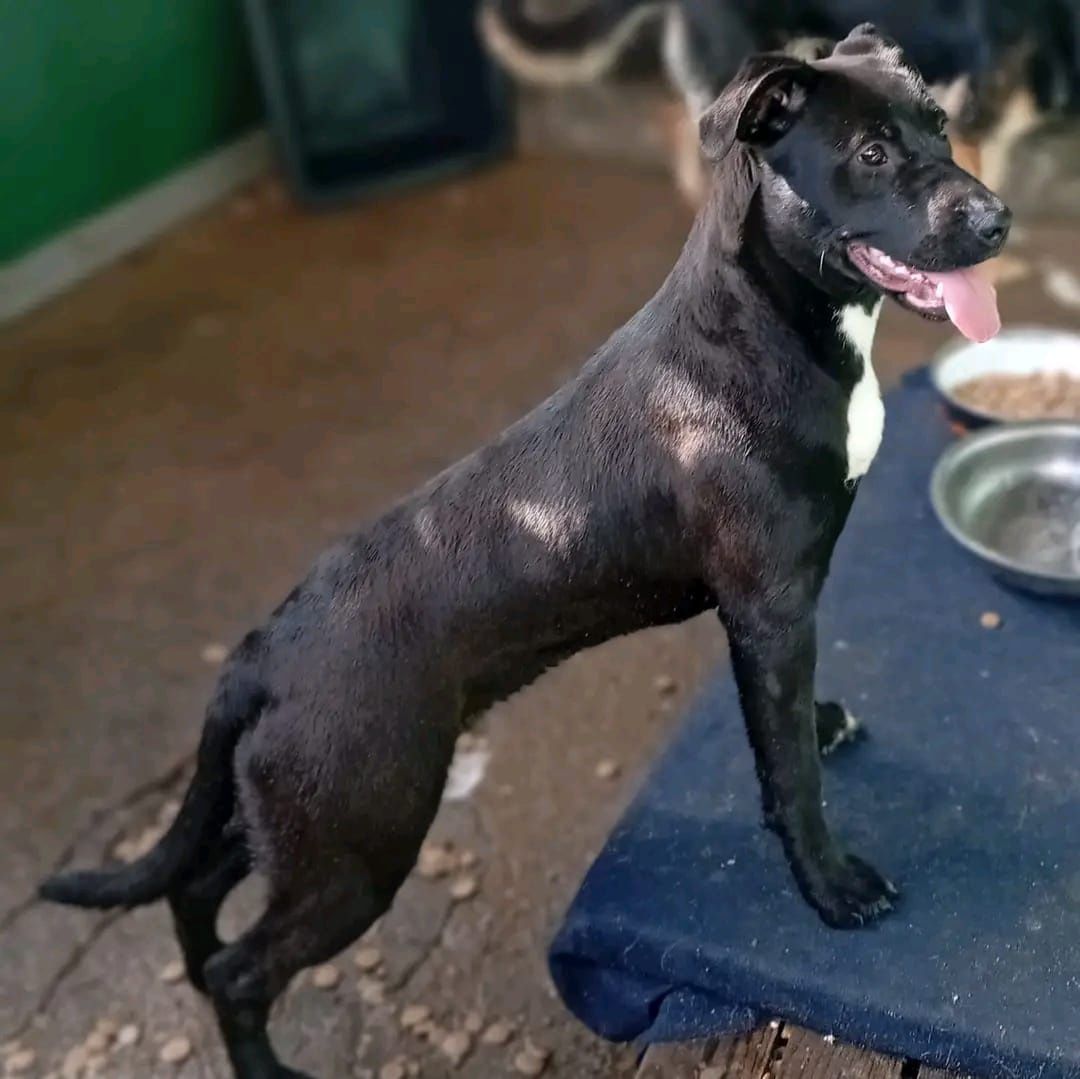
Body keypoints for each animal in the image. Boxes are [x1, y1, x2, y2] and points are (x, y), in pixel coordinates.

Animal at [38, 27, 1006, 1079]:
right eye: (869, 153)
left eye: (940, 123)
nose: (999, 219)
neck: (763, 320)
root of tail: (258, 653)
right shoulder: (772, 606)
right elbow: (791, 774)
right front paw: (831, 885)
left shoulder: (770, 617)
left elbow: (788, 734)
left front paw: (821, 729)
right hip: (360, 841)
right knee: (241, 971)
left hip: (296, 820)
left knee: (195, 887)